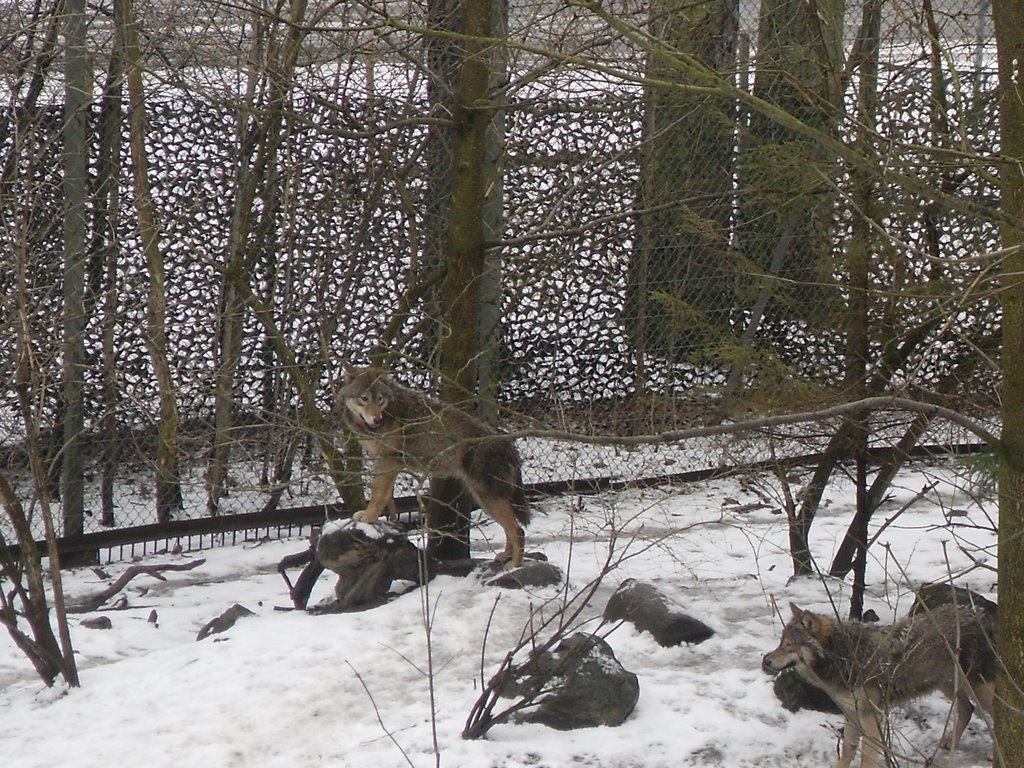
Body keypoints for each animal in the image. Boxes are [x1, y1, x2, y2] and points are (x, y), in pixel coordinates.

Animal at [335, 366, 532, 573]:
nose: (377, 419)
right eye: (364, 398)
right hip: (484, 498)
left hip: (487, 497)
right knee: (511, 529)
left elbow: (378, 494)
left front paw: (368, 517)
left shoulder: (388, 461)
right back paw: (505, 557)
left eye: (379, 399)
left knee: (518, 530)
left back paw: (515, 565)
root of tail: (508, 444)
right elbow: (381, 493)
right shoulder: (380, 461)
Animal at [765, 606, 995, 765]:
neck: (845, 656)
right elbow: (848, 749)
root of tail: (982, 614)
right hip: (947, 684)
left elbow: (867, 756)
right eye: (780, 643)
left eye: (788, 646)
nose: (766, 660)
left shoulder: (870, 714)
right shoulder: (851, 712)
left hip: (978, 688)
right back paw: (949, 741)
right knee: (967, 708)